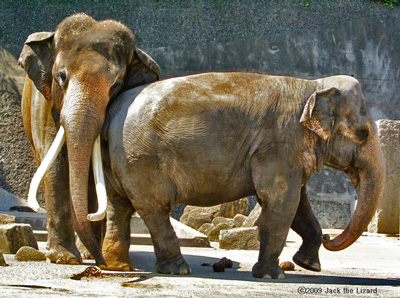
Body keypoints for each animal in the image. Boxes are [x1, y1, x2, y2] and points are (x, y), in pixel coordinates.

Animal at [18, 14, 159, 266]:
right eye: (61, 76)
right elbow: (56, 166)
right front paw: (65, 259)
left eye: (116, 85)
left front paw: (83, 255)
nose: (103, 263)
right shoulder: (45, 104)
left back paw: (89, 252)